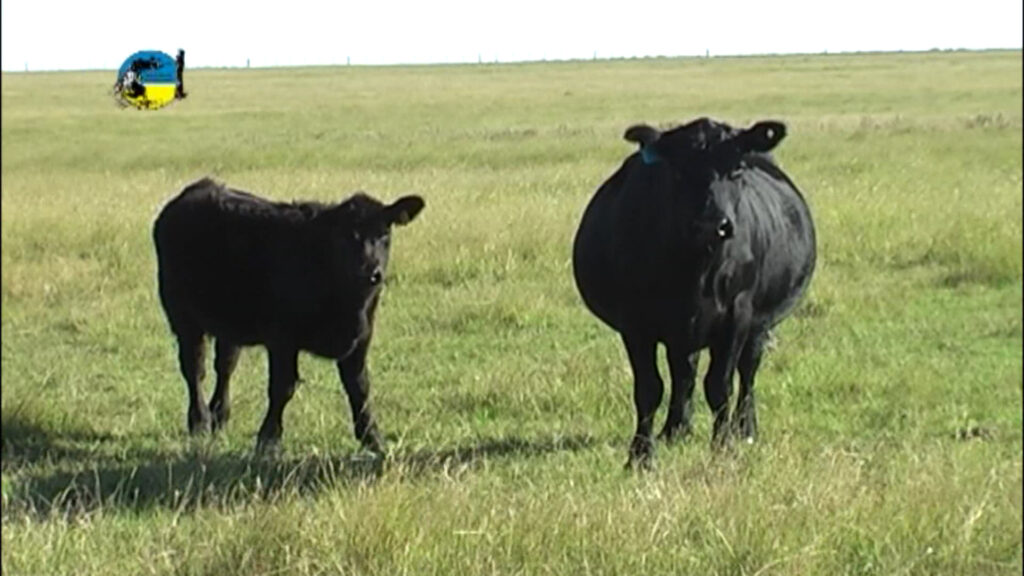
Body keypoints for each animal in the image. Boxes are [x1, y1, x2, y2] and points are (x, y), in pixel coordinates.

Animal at [153, 177, 425, 452]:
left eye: (384, 234)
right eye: (348, 236)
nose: (371, 272)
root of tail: (199, 187)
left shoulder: (361, 337)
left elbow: (360, 387)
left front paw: (373, 438)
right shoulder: (282, 338)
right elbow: (282, 387)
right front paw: (269, 439)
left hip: (229, 322)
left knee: (225, 366)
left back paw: (219, 416)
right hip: (182, 317)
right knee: (194, 368)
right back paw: (199, 422)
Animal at [571, 117, 816, 467]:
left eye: (736, 168)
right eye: (678, 172)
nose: (712, 225)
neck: (694, 271)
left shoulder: (737, 316)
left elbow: (720, 385)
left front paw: (723, 446)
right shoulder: (636, 324)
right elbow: (650, 388)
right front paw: (641, 455)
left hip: (760, 324)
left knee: (747, 371)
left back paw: (745, 428)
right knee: (683, 371)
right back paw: (676, 430)